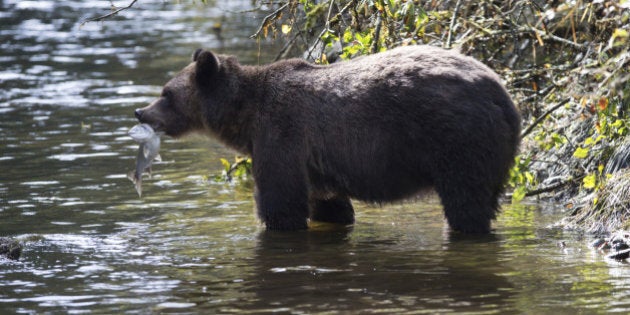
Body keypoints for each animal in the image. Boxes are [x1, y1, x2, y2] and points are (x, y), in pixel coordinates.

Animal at [135, 46, 524, 235]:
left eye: (166, 93)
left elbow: (280, 203)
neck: (243, 118)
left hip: (457, 139)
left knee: (465, 201)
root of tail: (504, 96)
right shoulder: (316, 164)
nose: (140, 112)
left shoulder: (281, 136)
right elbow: (328, 204)